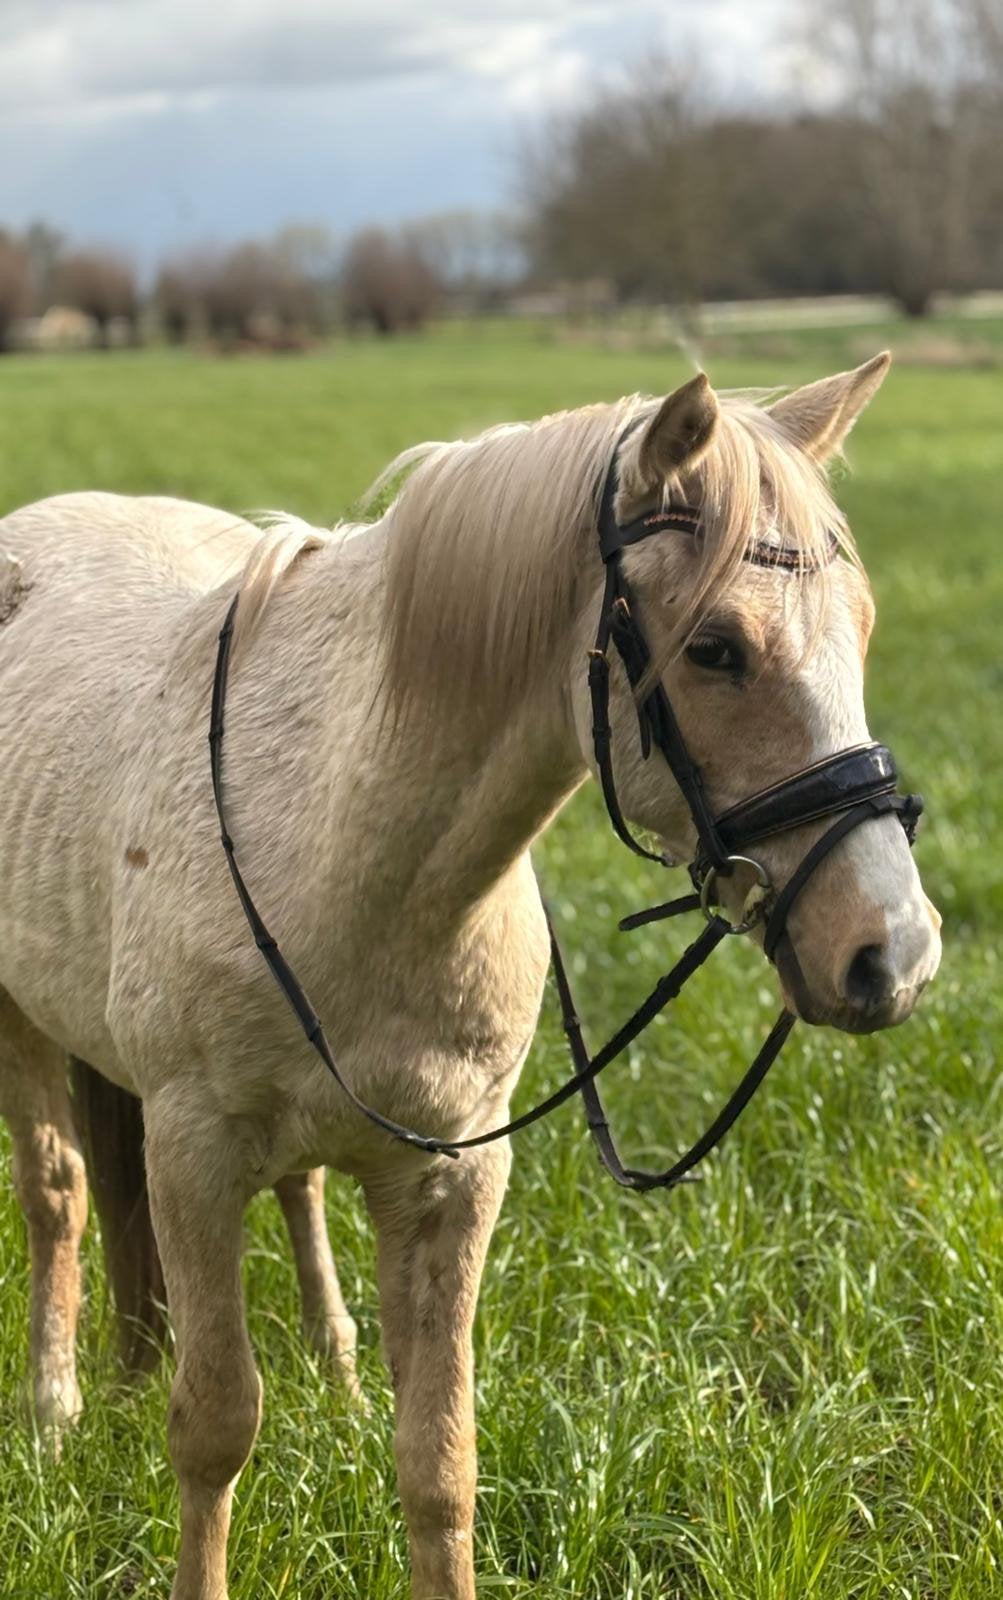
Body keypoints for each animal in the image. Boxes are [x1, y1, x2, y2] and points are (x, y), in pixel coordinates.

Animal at [0, 354, 941, 1599]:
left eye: (865, 626)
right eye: (715, 648)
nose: (893, 950)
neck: (346, 836)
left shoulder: (452, 1176)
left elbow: (438, 1461)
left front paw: (375, 1417)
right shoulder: (190, 1157)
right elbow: (213, 1426)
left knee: (300, 1193)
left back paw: (341, 1380)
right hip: (20, 1025)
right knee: (57, 1193)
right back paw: (55, 1414)